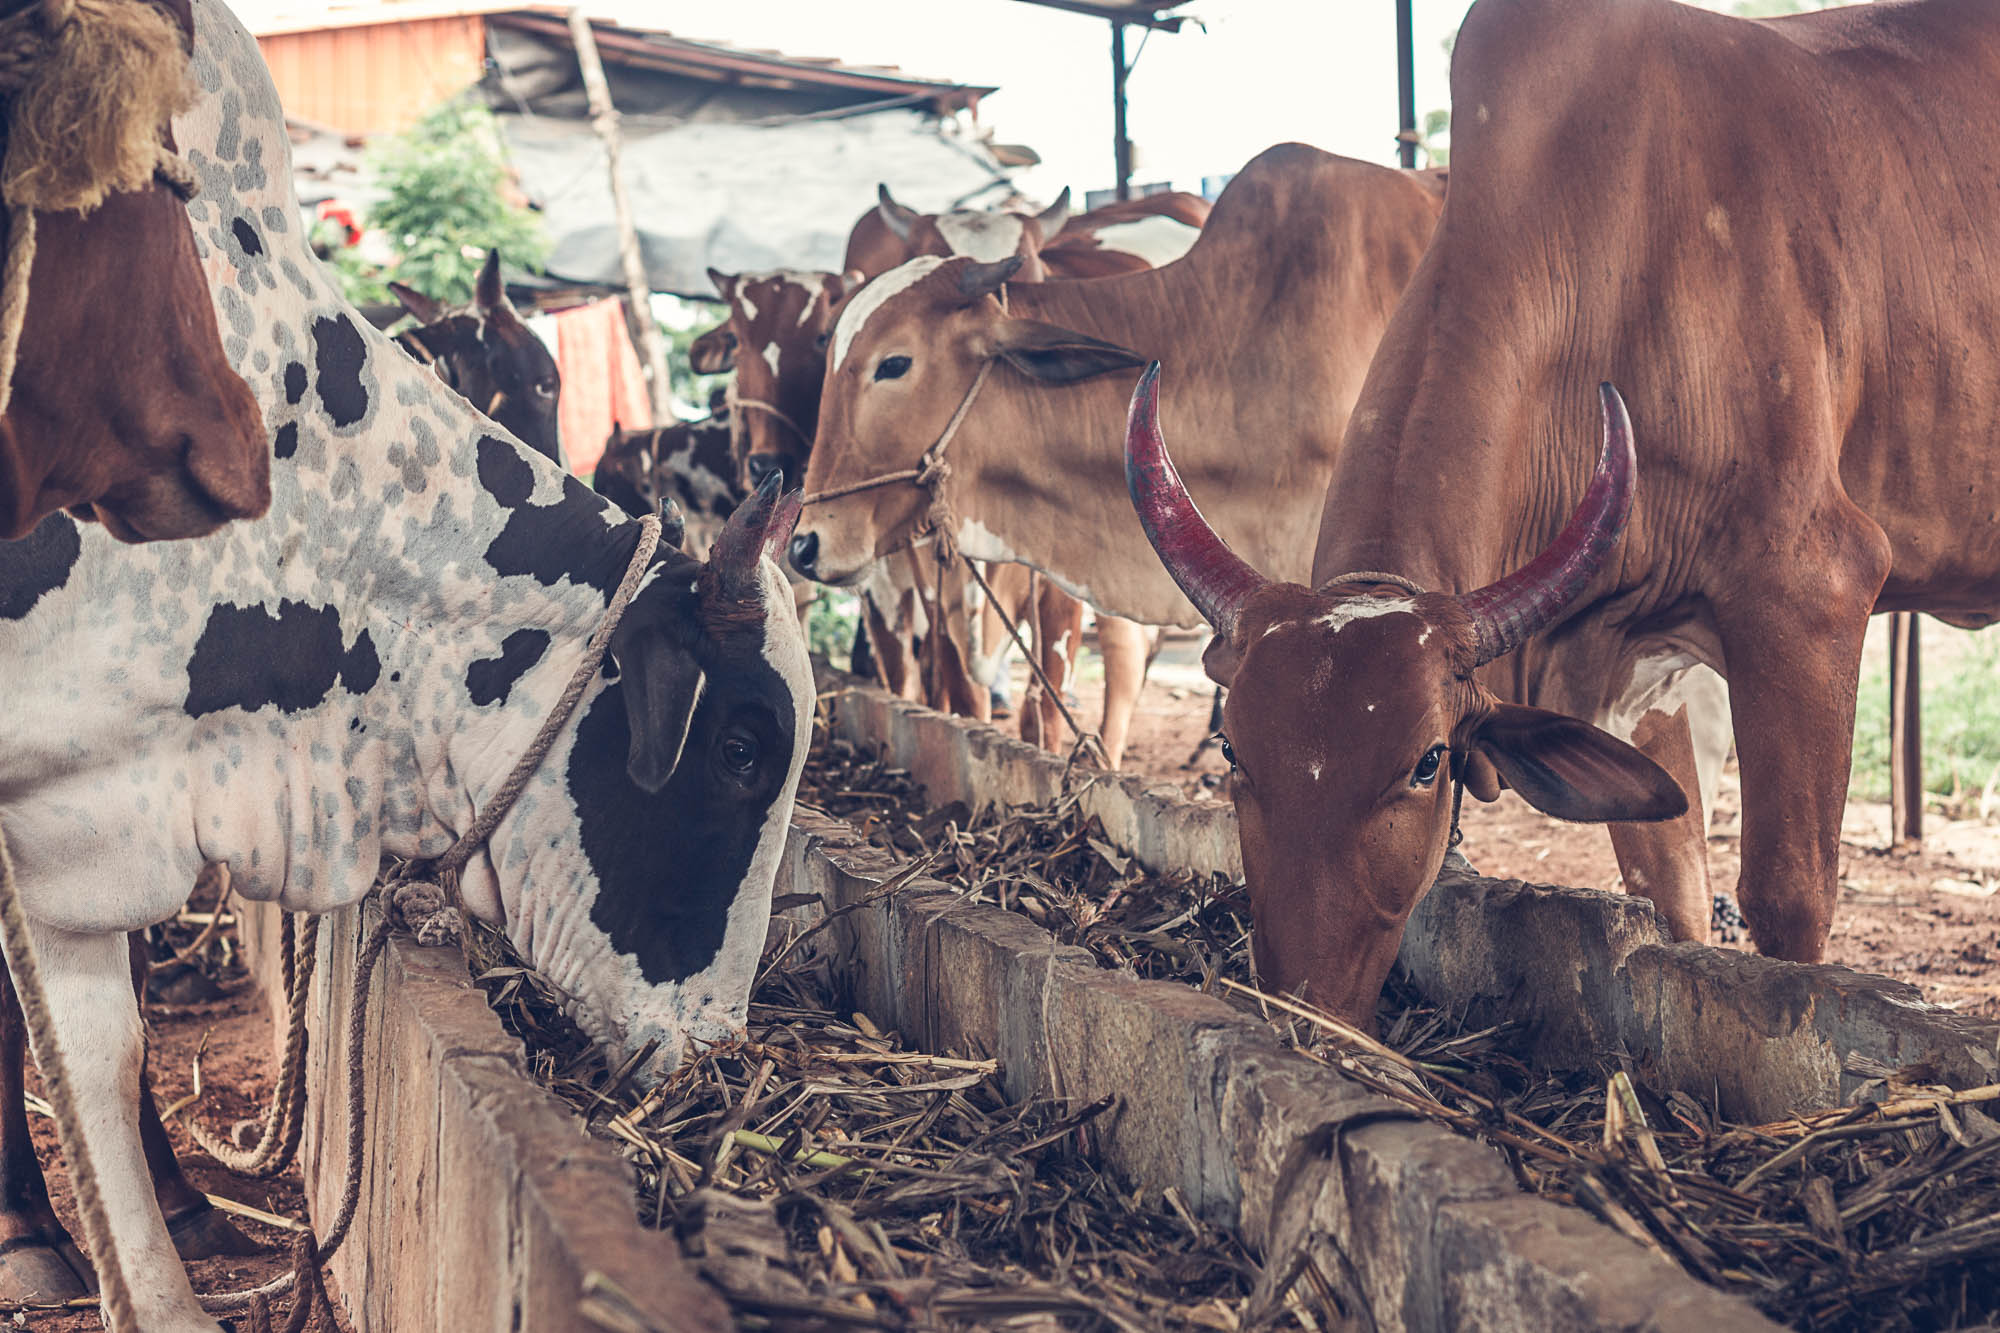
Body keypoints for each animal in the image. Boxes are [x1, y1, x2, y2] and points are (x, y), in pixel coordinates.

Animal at [1118, 0, 2000, 1028]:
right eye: (1232, 749)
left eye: (1427, 761)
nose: (1302, 1009)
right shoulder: (1637, 670)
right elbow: (1673, 891)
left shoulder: (1809, 597)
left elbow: (1789, 896)